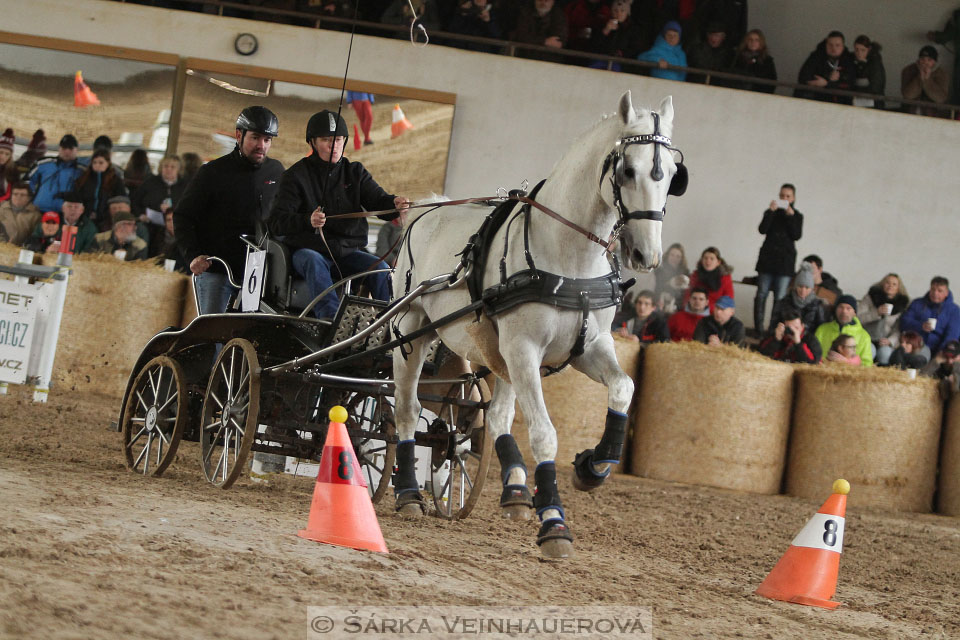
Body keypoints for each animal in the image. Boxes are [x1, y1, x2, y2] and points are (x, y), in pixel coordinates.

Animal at [388, 91, 684, 560]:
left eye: (673, 174)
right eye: (627, 170)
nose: (647, 255)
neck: (568, 257)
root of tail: (426, 209)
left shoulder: (589, 346)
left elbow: (624, 387)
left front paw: (593, 466)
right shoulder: (525, 348)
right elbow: (545, 435)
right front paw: (554, 523)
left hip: (499, 353)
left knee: (496, 418)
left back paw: (513, 489)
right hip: (415, 331)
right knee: (406, 408)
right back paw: (408, 495)